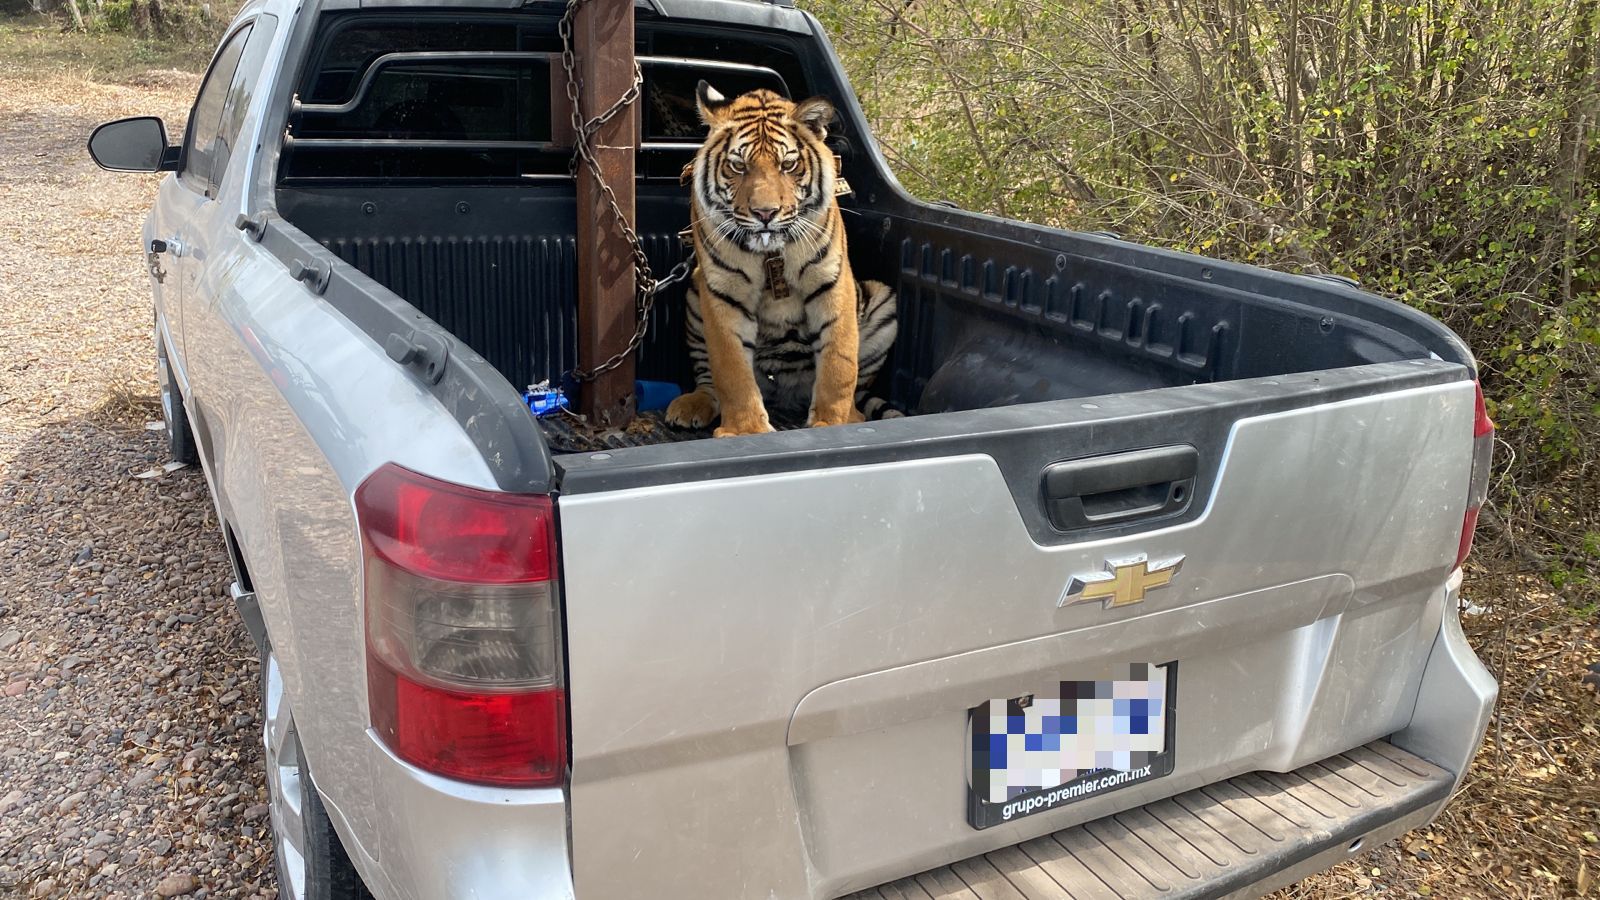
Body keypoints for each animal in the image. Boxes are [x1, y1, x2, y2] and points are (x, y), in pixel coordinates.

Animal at [663, 82, 899, 437]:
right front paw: (746, 431)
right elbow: (731, 371)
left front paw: (833, 423)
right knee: (708, 381)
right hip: (694, 292)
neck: (770, 253)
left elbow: (839, 364)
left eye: (788, 165)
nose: (765, 213)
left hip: (883, 301)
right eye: (738, 166)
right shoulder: (723, 293)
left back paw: (855, 415)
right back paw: (691, 405)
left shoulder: (832, 282)